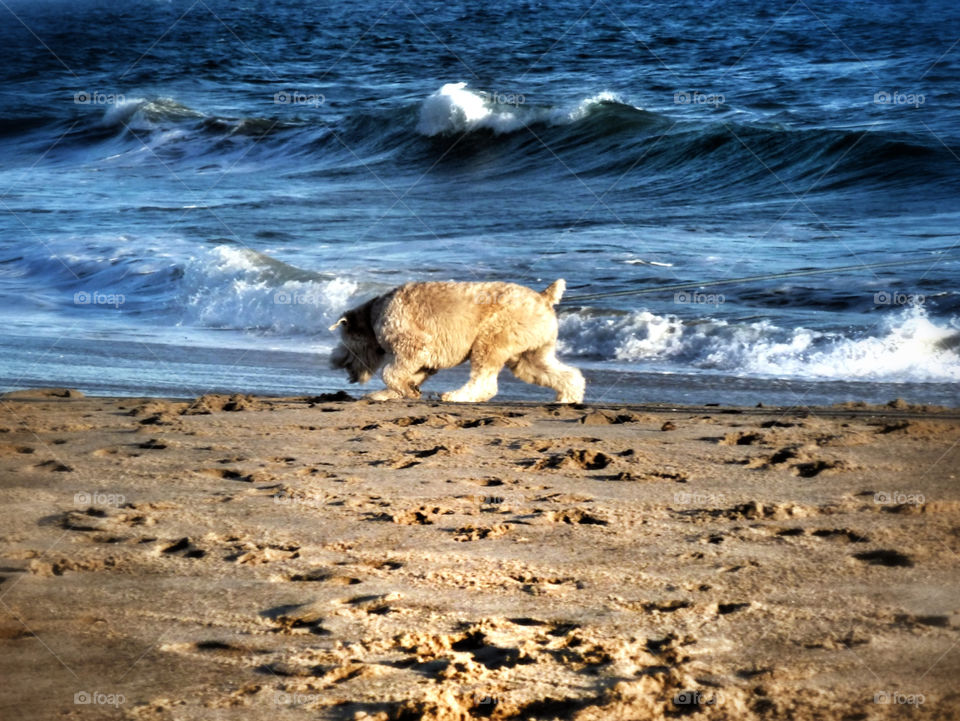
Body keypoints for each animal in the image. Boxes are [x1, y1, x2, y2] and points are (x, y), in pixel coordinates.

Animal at [330, 278, 584, 402]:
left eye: (346, 342)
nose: (337, 363)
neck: (374, 314)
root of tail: (543, 297)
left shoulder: (412, 347)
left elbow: (390, 373)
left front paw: (402, 391)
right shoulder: (423, 361)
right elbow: (404, 377)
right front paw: (391, 393)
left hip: (491, 339)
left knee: (485, 382)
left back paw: (456, 396)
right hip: (529, 355)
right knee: (563, 374)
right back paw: (567, 397)